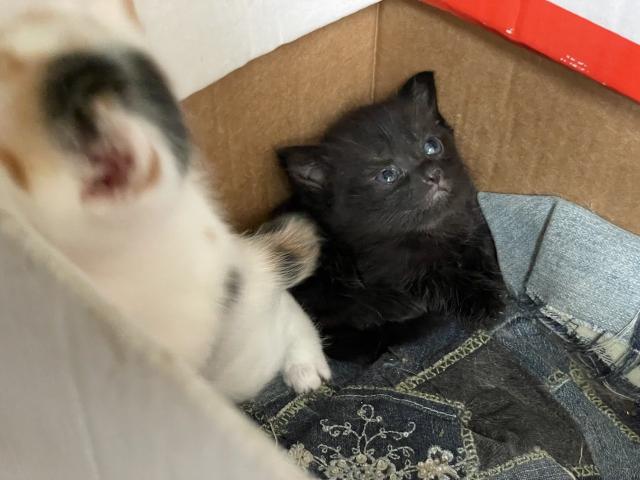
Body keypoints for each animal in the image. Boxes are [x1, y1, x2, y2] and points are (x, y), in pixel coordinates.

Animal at [278, 71, 508, 362]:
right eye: (387, 175)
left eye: (431, 146)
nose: (433, 174)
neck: (432, 227)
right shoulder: (391, 271)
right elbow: (441, 280)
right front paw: (483, 298)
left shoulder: (472, 216)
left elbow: (483, 245)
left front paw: (493, 274)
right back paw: (397, 308)